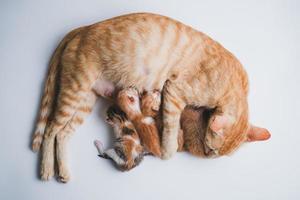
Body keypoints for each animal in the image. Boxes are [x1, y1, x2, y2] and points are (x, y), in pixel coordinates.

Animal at [31, 12, 270, 183]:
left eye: (219, 155)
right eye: (212, 150)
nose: (208, 157)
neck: (236, 87)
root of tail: (82, 29)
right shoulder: (174, 91)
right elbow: (171, 138)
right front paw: (165, 148)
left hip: (85, 101)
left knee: (63, 134)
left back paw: (63, 172)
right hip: (74, 91)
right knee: (50, 130)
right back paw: (46, 170)